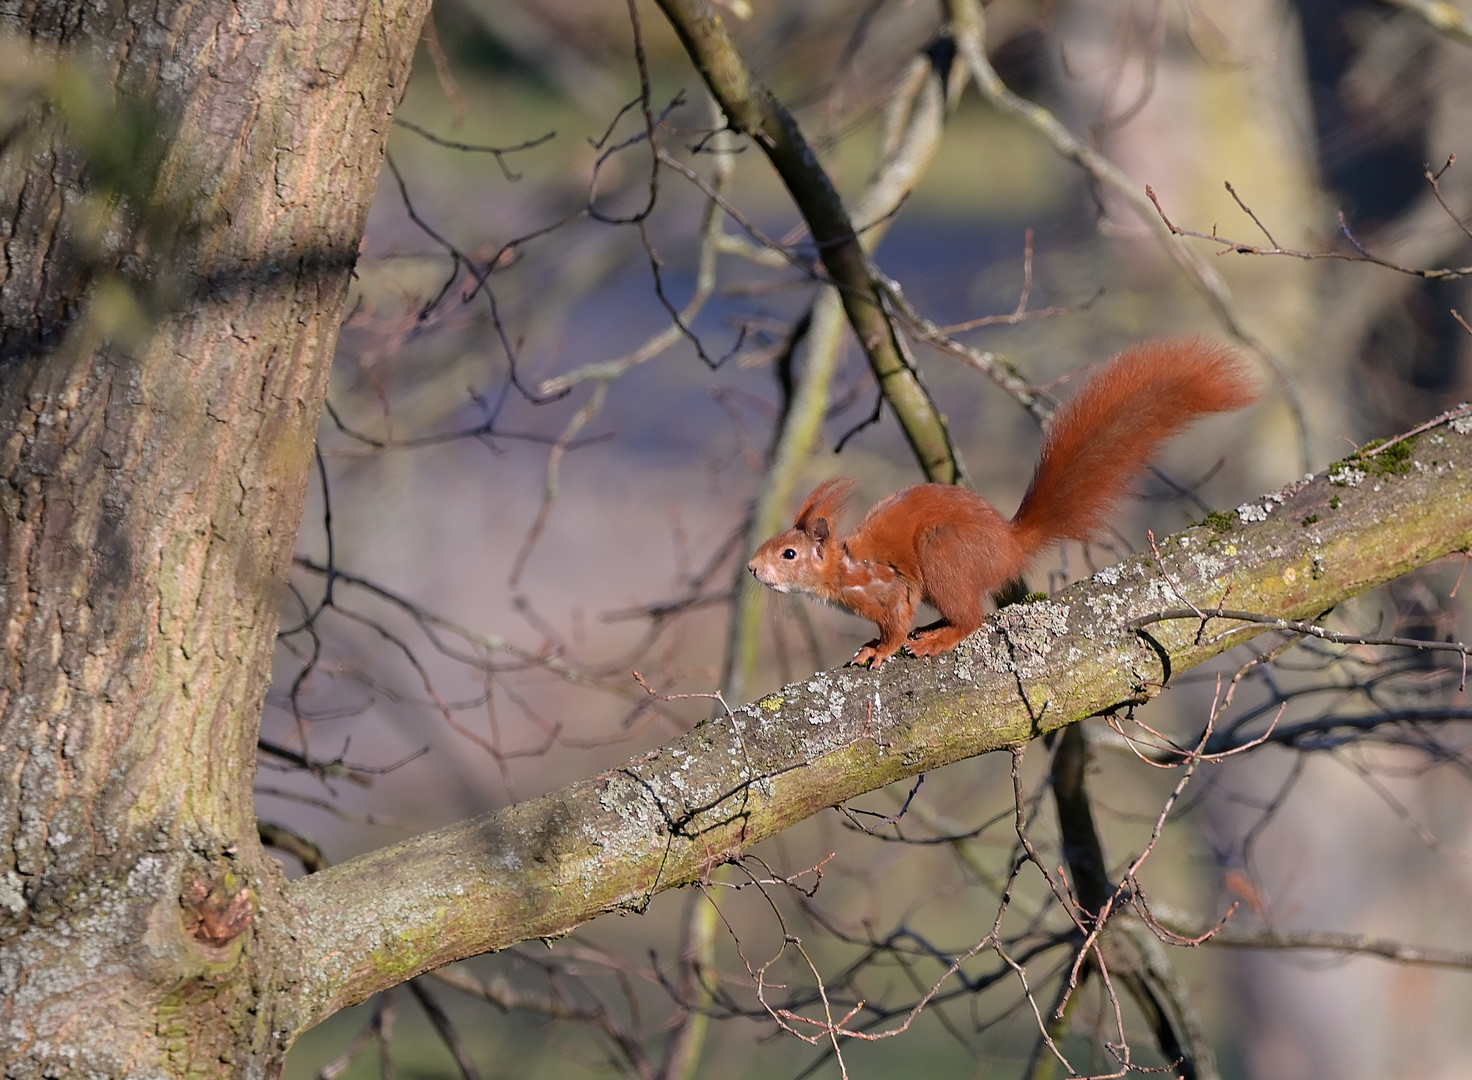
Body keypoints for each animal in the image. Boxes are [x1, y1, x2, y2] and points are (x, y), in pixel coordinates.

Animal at [747, 342, 1254, 668]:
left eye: (788, 553)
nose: (752, 568)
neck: (845, 570)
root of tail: (1009, 545)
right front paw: (872, 642)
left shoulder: (892, 587)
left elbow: (896, 622)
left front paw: (881, 648)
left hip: (944, 553)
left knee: (971, 617)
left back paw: (937, 638)